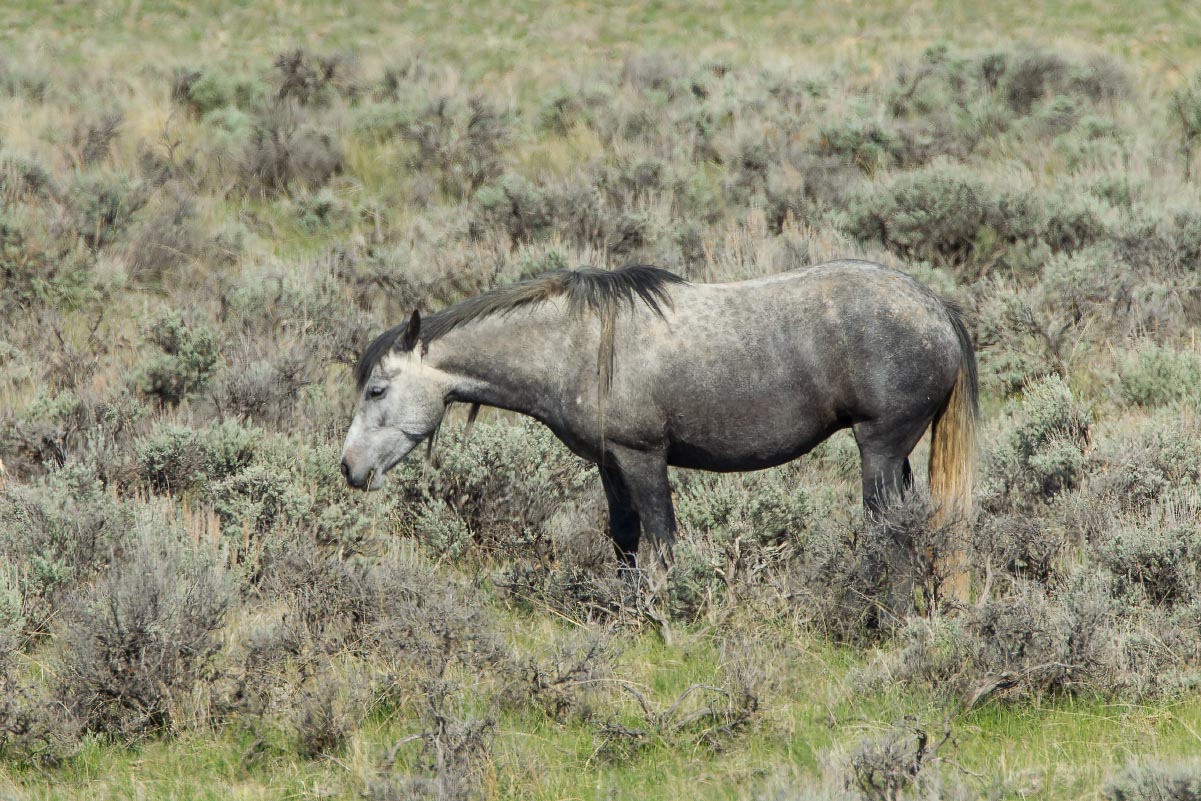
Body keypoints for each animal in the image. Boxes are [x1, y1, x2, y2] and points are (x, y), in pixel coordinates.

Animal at [338, 261, 975, 600]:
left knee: (889, 531)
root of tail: (936, 308)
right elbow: (624, 538)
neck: (577, 345)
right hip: (898, 454)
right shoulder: (609, 463)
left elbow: (663, 543)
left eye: (377, 390)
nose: (349, 468)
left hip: (879, 448)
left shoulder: (644, 458)